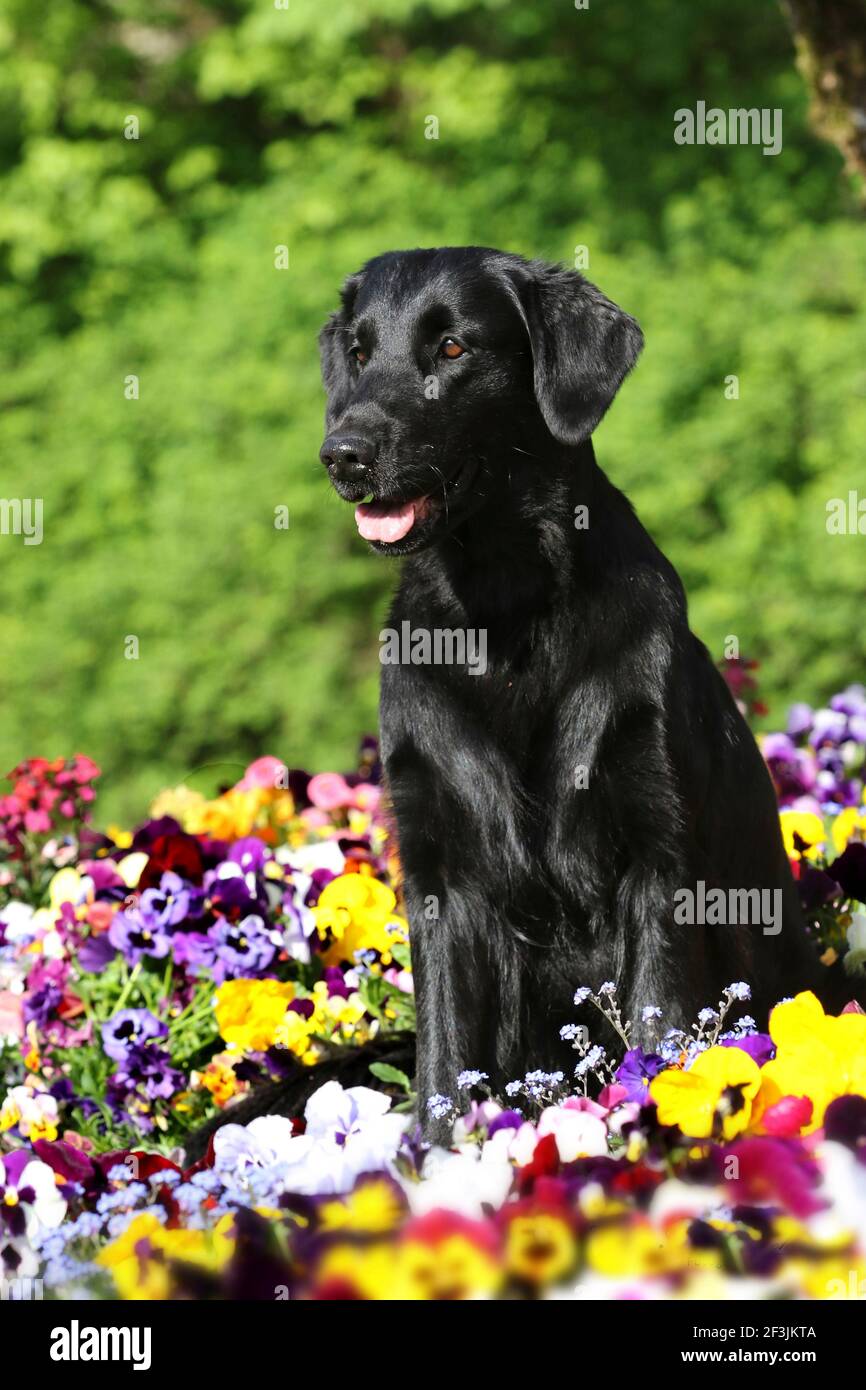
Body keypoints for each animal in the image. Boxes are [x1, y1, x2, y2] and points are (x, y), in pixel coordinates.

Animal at [319, 247, 828, 1128]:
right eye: (358, 351)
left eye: (452, 347)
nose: (342, 454)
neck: (503, 611)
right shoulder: (441, 875)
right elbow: (444, 1061)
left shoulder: (659, 853)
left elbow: (660, 1019)